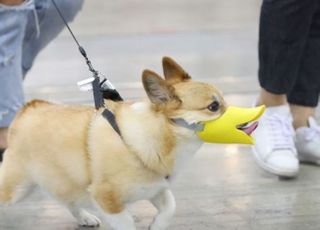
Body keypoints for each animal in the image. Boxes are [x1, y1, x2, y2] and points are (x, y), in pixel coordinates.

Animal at [0, 56, 225, 229]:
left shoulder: (155, 189)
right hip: (17, 188)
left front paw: (156, 225)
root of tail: (28, 108)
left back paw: (85, 217)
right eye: (213, 107)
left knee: (68, 199)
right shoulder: (107, 199)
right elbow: (127, 222)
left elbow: (170, 206)